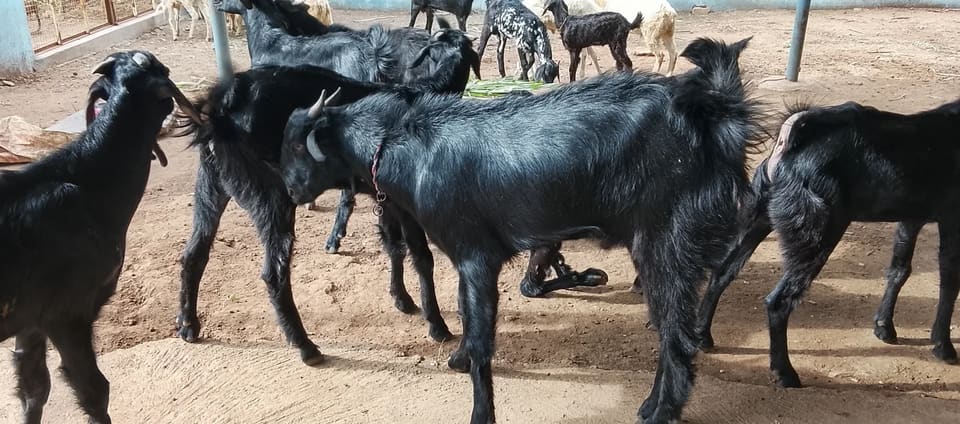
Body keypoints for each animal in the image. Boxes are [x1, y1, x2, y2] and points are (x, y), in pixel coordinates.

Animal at [0, 51, 201, 424]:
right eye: (163, 74)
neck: (91, 185)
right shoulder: (68, 311)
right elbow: (94, 390)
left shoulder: (30, 319)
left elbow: (34, 388)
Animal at [280, 37, 762, 423]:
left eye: (297, 148)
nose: (290, 189)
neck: (405, 145)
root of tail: (715, 121)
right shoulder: (466, 260)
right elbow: (467, 317)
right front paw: (457, 356)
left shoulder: (478, 258)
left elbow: (482, 342)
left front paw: (480, 412)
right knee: (669, 330)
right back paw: (648, 403)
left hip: (669, 244)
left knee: (677, 337)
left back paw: (661, 411)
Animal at [697, 98, 960, 389]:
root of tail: (792, 139)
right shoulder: (952, 220)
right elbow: (950, 282)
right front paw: (943, 346)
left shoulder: (912, 218)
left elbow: (899, 269)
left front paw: (884, 327)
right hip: (817, 232)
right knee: (779, 301)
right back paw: (785, 373)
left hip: (759, 215)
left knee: (723, 272)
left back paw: (702, 335)